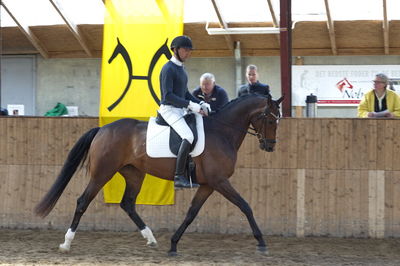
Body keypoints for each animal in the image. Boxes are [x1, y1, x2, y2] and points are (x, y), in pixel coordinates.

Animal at [35, 93, 284, 256]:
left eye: (278, 120)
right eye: (270, 119)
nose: (270, 147)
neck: (222, 132)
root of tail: (103, 129)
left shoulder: (208, 184)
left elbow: (191, 213)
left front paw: (173, 244)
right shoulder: (219, 181)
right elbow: (245, 206)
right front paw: (261, 243)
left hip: (134, 174)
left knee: (128, 204)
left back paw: (151, 239)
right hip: (102, 174)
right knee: (83, 201)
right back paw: (66, 244)